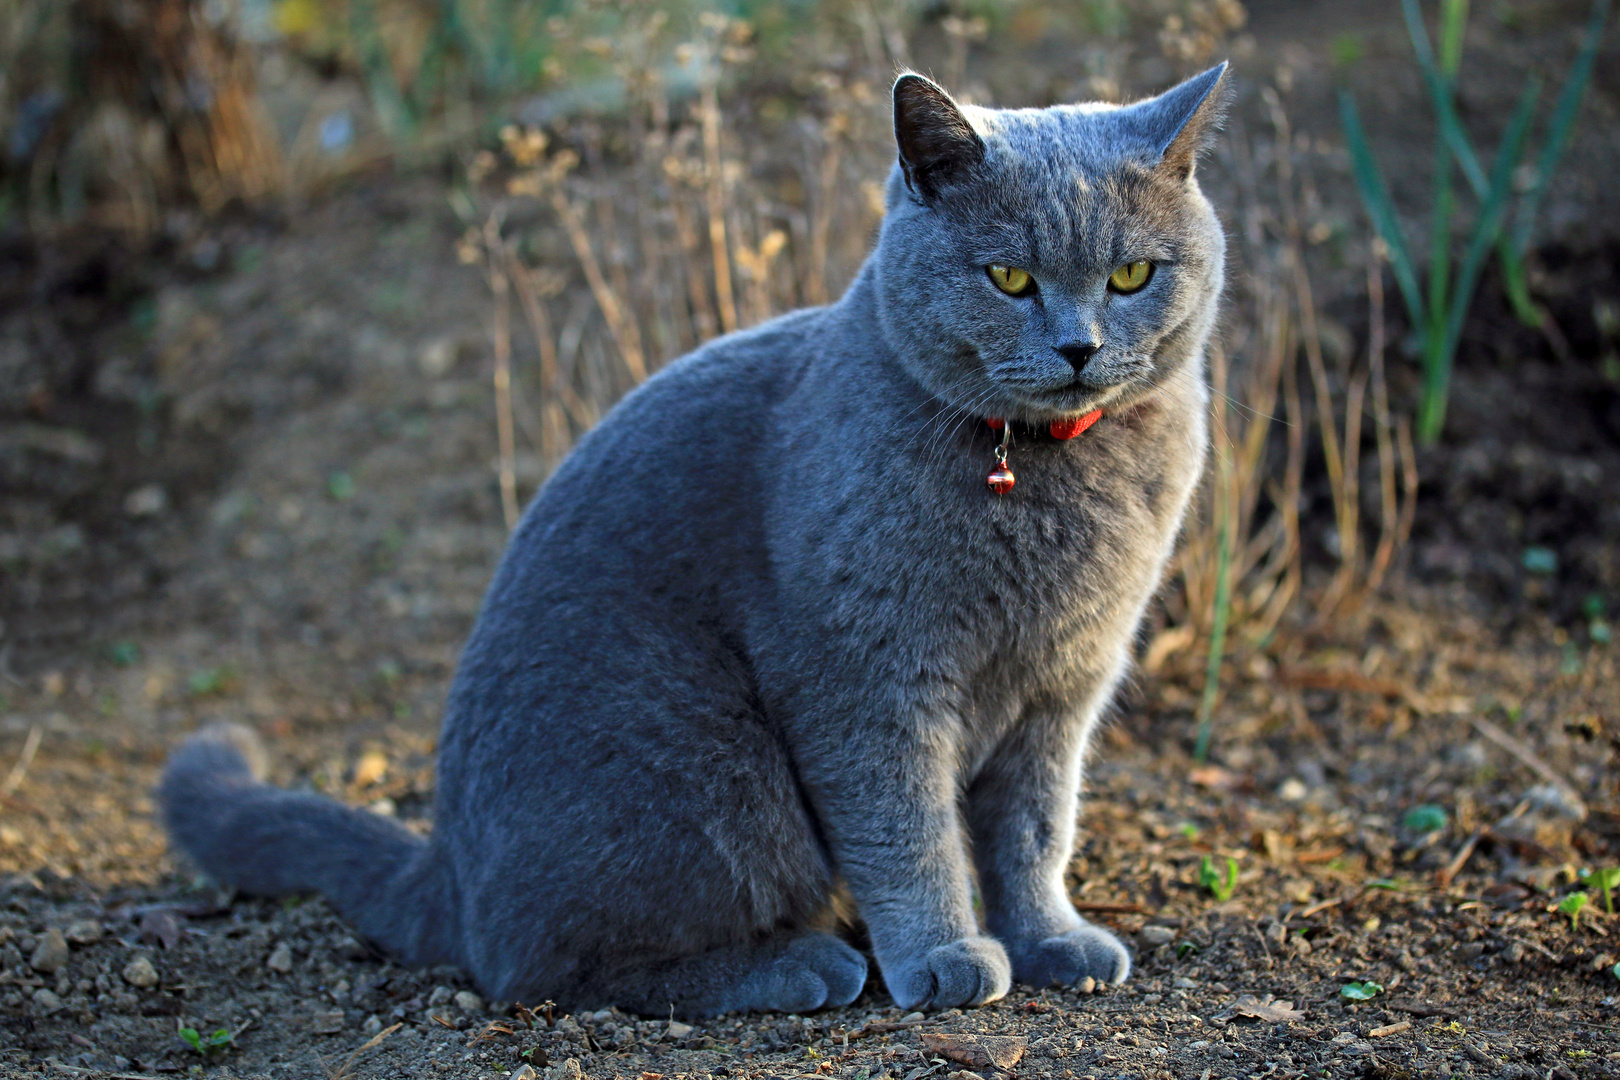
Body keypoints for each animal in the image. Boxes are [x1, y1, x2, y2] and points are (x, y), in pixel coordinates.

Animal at [161, 63, 1224, 1016]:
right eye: (1008, 277)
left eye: (1132, 274)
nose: (1080, 347)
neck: (1047, 479)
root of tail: (446, 871)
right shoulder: (862, 677)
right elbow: (905, 828)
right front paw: (944, 958)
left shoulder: (1065, 684)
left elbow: (1036, 829)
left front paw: (1050, 940)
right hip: (706, 763)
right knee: (541, 968)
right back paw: (802, 965)